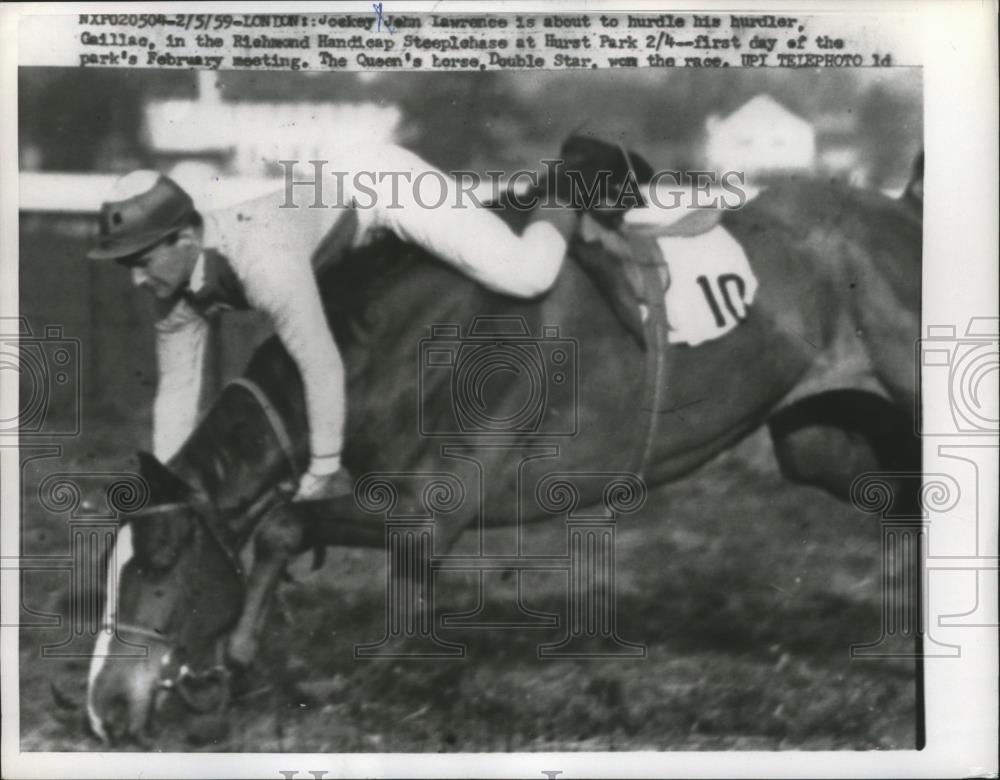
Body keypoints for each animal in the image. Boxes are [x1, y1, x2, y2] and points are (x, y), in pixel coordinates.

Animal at [86, 178, 920, 744]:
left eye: (159, 564)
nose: (105, 708)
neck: (399, 339)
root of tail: (901, 207)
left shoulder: (436, 508)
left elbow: (286, 523)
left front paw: (233, 661)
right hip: (823, 440)